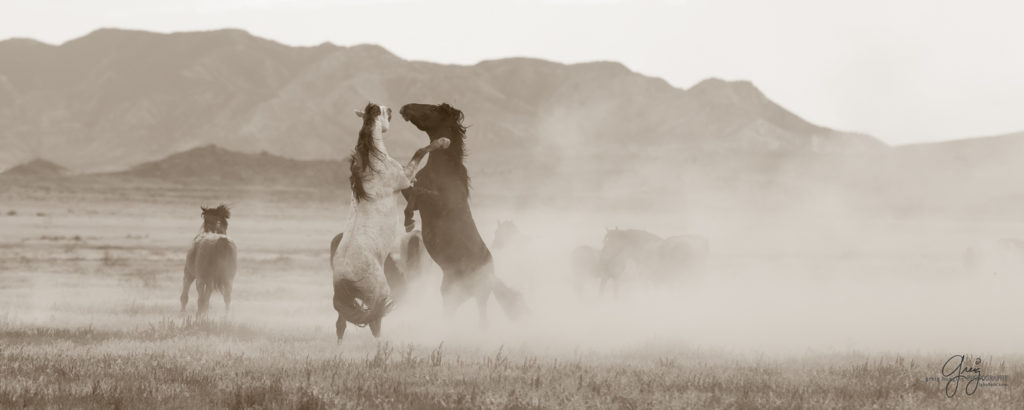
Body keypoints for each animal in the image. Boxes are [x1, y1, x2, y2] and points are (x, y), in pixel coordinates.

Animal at [333, 101, 450, 342]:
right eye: (384, 112)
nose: (392, 111)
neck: (372, 165)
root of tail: (343, 279)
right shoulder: (404, 177)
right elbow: (420, 151)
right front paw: (443, 142)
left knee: (342, 323)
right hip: (378, 295)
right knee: (374, 322)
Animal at [397, 100, 532, 321]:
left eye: (433, 109)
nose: (405, 107)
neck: (443, 169)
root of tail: (491, 275)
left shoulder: (433, 202)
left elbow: (417, 192)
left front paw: (409, 221)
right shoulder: (417, 198)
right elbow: (409, 187)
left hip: (475, 297)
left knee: (482, 320)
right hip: (450, 294)